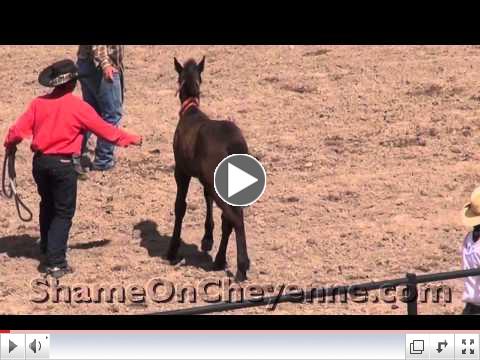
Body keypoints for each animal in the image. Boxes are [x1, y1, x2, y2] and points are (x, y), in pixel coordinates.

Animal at [167, 57, 251, 282]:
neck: (191, 111)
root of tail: (234, 145)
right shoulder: (205, 180)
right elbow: (207, 199)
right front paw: (207, 239)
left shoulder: (182, 171)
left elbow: (180, 205)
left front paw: (172, 249)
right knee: (229, 219)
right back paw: (220, 260)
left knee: (235, 220)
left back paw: (241, 267)